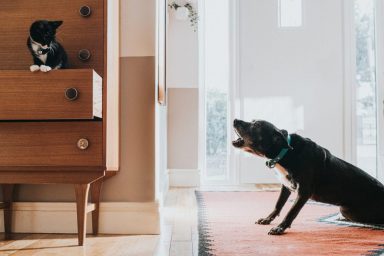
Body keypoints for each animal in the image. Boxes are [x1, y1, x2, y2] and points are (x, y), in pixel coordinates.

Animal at [231, 119, 384, 235]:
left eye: (256, 125)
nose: (235, 120)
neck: (285, 152)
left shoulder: (303, 192)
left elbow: (291, 211)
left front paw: (280, 228)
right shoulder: (286, 186)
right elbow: (278, 205)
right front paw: (268, 219)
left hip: (347, 210)